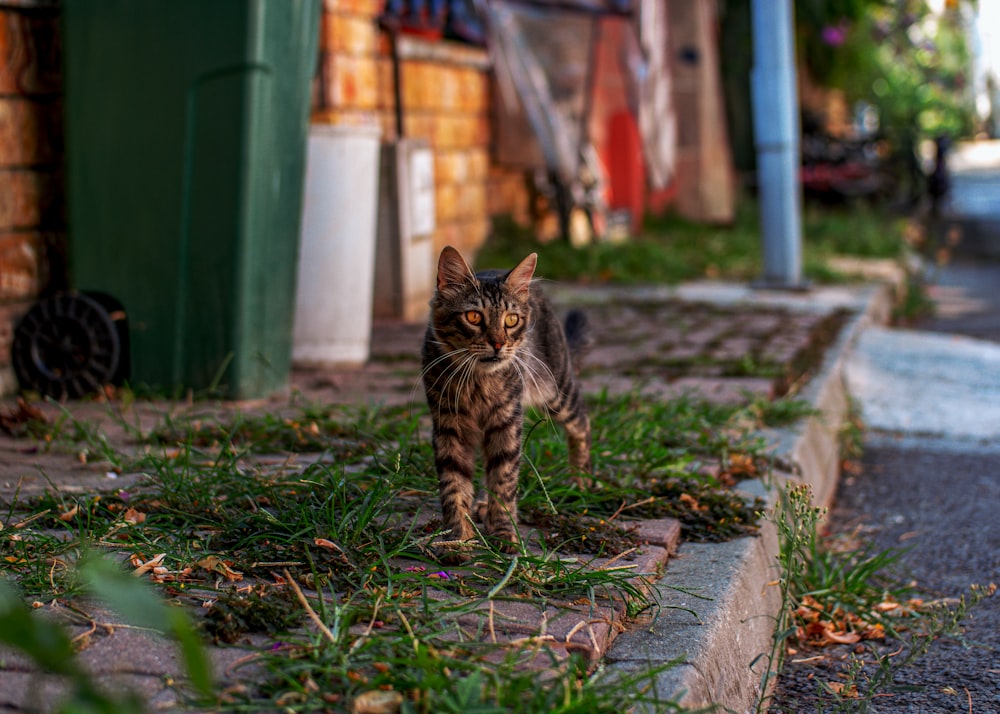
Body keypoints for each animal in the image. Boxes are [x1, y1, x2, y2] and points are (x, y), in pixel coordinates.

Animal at [420, 245, 588, 556]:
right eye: (473, 317)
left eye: (511, 320)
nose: (498, 344)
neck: (476, 383)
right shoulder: (448, 425)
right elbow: (454, 486)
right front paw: (457, 540)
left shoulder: (506, 422)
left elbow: (503, 480)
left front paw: (502, 534)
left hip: (557, 391)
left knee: (583, 422)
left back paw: (581, 479)